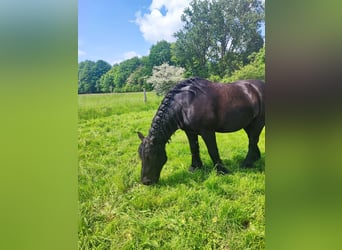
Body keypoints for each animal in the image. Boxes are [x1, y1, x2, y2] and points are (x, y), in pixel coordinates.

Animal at [138, 78, 266, 186]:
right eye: (140, 156)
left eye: (149, 156)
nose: (146, 182)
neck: (186, 103)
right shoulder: (190, 132)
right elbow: (194, 148)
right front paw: (195, 167)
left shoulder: (207, 132)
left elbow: (213, 150)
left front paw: (221, 170)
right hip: (248, 124)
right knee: (252, 140)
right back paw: (255, 158)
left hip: (258, 123)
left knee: (253, 141)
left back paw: (246, 163)